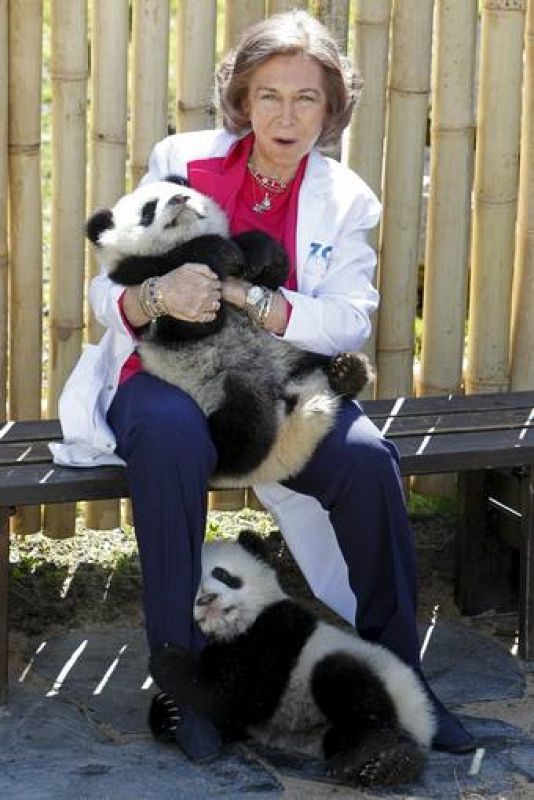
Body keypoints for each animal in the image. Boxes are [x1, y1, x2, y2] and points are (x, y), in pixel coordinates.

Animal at [86, 178, 373, 486]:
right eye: (148, 210)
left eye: (183, 192)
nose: (179, 199)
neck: (183, 238)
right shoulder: (143, 279)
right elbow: (189, 317)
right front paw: (215, 251)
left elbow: (272, 278)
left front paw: (253, 252)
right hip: (217, 385)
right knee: (243, 418)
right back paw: (237, 449)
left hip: (292, 353)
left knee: (314, 363)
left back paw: (347, 372)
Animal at [149, 531, 436, 788]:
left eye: (222, 574)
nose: (207, 599)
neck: (232, 628)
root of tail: (424, 718)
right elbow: (228, 717)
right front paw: (168, 712)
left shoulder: (276, 631)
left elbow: (236, 695)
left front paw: (166, 660)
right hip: (334, 729)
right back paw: (382, 763)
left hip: (373, 674)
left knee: (347, 684)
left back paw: (378, 757)